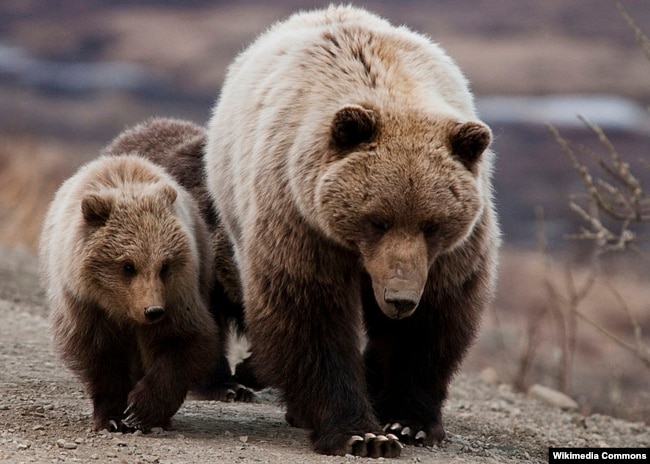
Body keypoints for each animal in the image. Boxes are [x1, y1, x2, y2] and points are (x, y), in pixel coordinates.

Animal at [40, 154, 219, 430]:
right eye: (127, 265)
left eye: (164, 265)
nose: (153, 310)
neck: (121, 309)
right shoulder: (85, 305)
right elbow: (100, 356)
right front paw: (113, 416)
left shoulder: (177, 295)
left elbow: (181, 341)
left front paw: (142, 410)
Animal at [205, 4, 498, 460]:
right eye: (376, 219)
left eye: (432, 224)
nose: (399, 298)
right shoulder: (301, 219)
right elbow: (311, 317)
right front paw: (362, 434)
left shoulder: (450, 253)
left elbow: (433, 320)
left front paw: (408, 422)